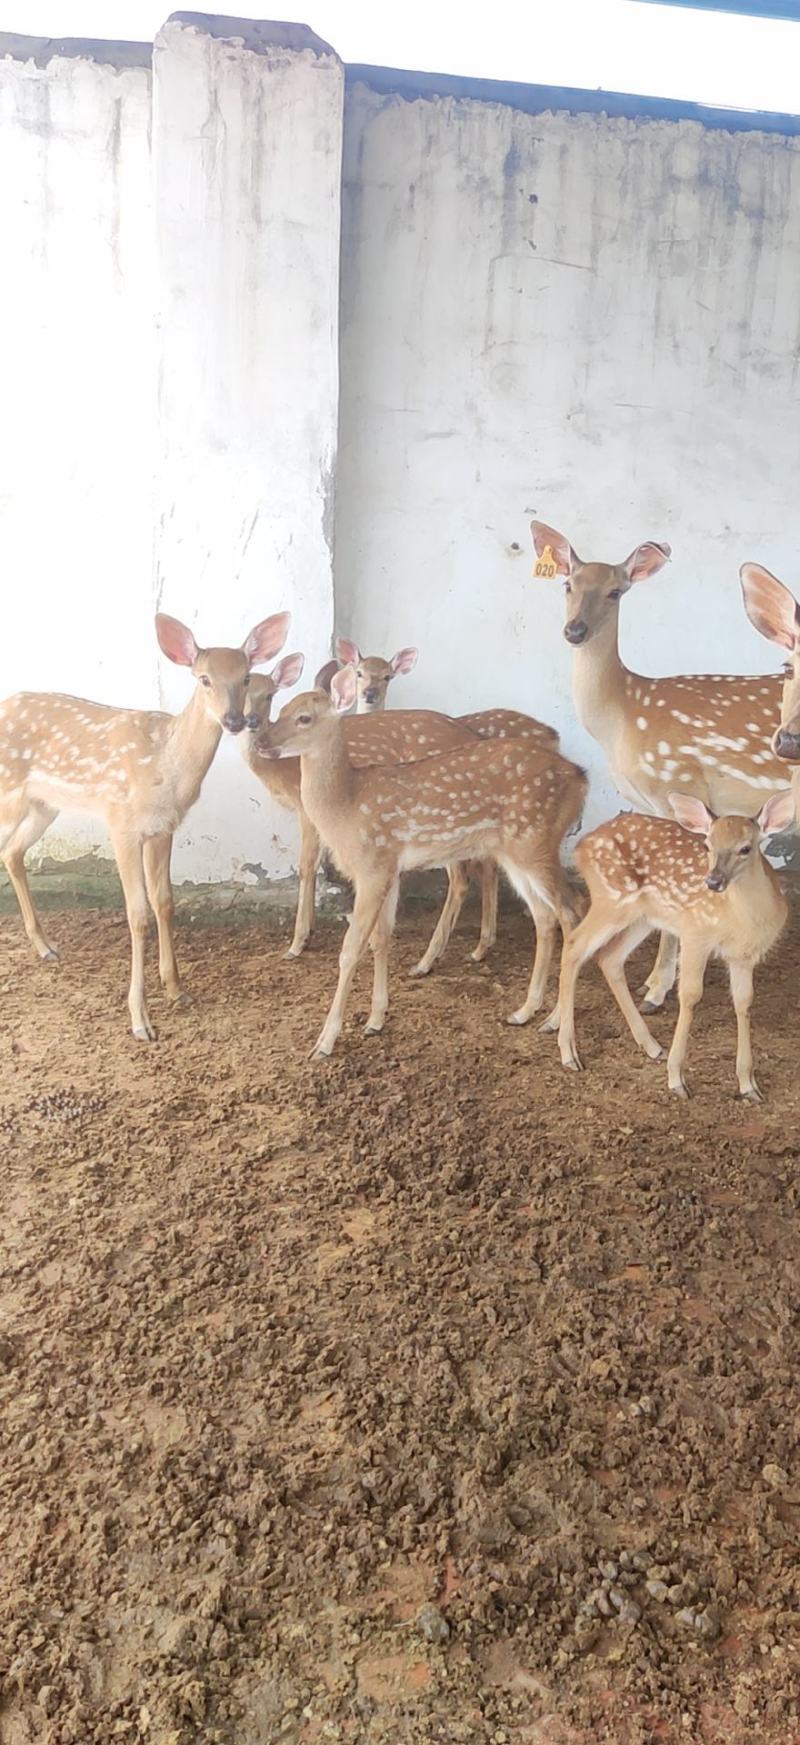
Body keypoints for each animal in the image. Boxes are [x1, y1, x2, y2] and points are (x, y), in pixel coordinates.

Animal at [0, 609, 290, 1041]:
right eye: (203, 678)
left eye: (246, 677)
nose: (235, 720)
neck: (166, 769)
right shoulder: (121, 822)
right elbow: (137, 914)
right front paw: (140, 1020)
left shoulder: (163, 828)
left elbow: (164, 901)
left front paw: (176, 988)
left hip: (42, 806)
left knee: (13, 852)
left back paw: (46, 947)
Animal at [257, 666, 586, 1058]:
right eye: (281, 706)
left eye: (304, 717)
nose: (260, 740)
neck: (345, 807)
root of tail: (580, 778)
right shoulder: (389, 869)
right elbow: (381, 938)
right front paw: (376, 1019)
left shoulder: (371, 866)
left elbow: (351, 949)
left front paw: (325, 1041)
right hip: (516, 852)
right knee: (545, 916)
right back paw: (527, 1012)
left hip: (534, 841)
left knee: (571, 909)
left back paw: (561, 1034)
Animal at [531, 519, 792, 1016]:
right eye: (567, 584)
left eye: (616, 591)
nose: (574, 630)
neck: (621, 720)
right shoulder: (651, 801)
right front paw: (657, 983)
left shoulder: (678, 782)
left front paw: (655, 989)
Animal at [543, 790, 792, 1101]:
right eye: (708, 844)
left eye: (746, 848)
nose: (713, 882)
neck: (745, 920)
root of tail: (581, 846)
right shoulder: (695, 933)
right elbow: (690, 995)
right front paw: (676, 1080)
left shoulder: (743, 956)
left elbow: (744, 1002)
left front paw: (748, 1085)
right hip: (611, 900)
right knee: (576, 944)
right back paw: (569, 1053)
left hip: (643, 917)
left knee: (609, 957)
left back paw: (650, 1045)